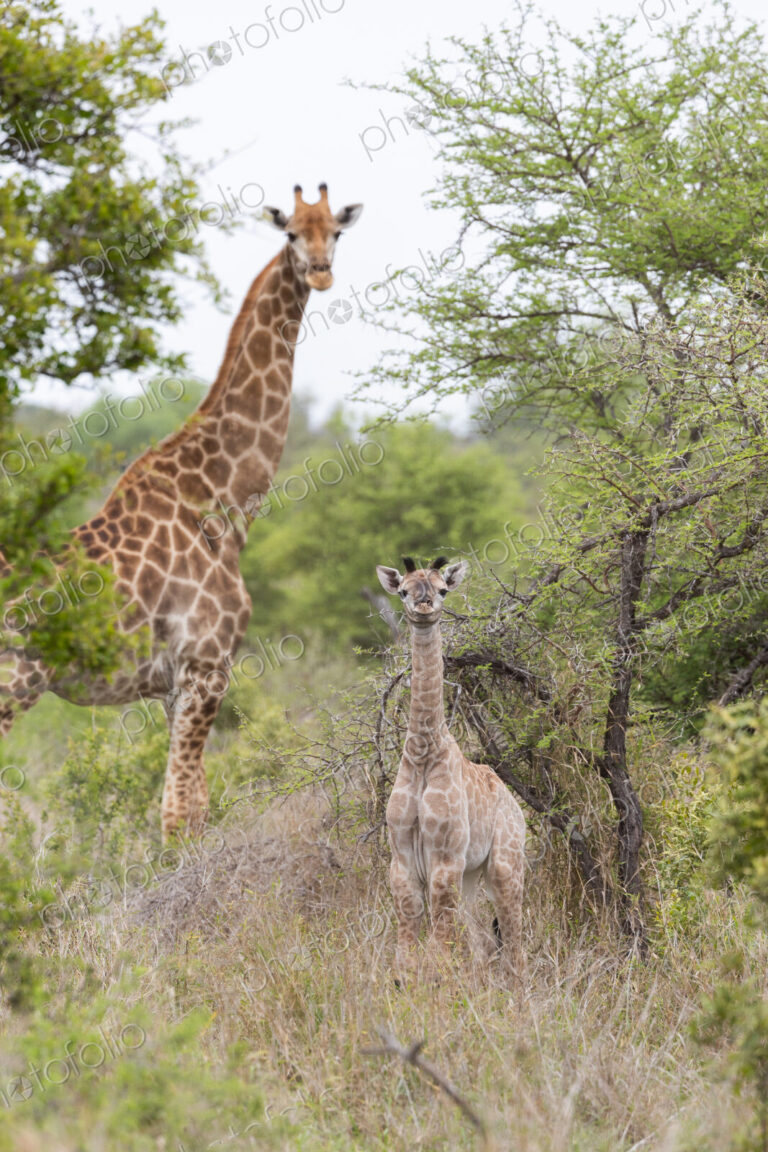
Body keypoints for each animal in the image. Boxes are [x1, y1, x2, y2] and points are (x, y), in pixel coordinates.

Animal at [0, 183, 362, 839]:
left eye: (338, 231)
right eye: (291, 232)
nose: (321, 272)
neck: (223, 500)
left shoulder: (178, 685)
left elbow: (195, 806)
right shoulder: (206, 665)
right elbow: (177, 814)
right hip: (14, 682)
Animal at [376, 556, 526, 984]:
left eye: (442, 589)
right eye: (403, 590)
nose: (424, 607)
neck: (423, 753)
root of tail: (517, 806)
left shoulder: (445, 856)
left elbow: (440, 930)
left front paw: (437, 980)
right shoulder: (401, 857)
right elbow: (411, 920)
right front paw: (404, 980)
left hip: (505, 864)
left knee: (514, 939)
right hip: (473, 873)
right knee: (484, 941)